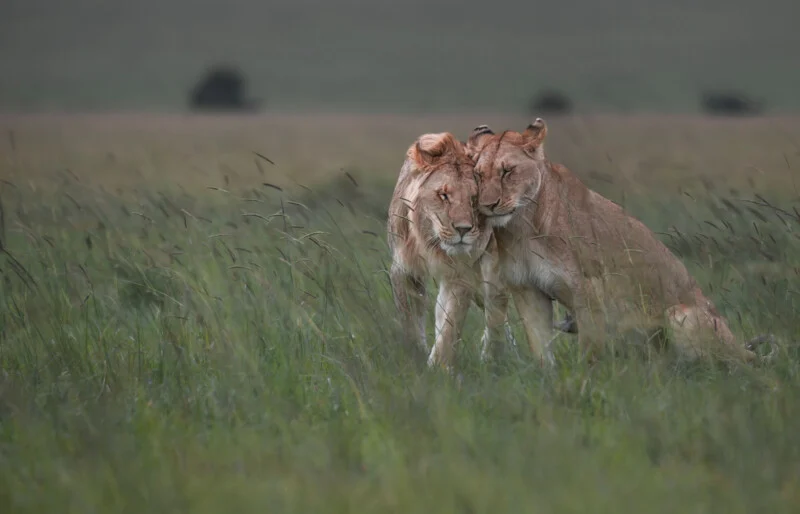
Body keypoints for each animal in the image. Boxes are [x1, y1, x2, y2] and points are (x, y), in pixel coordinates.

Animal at [465, 119, 774, 365]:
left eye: (507, 171)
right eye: (478, 175)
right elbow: (542, 352)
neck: (523, 226)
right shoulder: (528, 291)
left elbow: (590, 354)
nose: (487, 206)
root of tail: (742, 348)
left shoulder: (588, 292)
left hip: (682, 316)